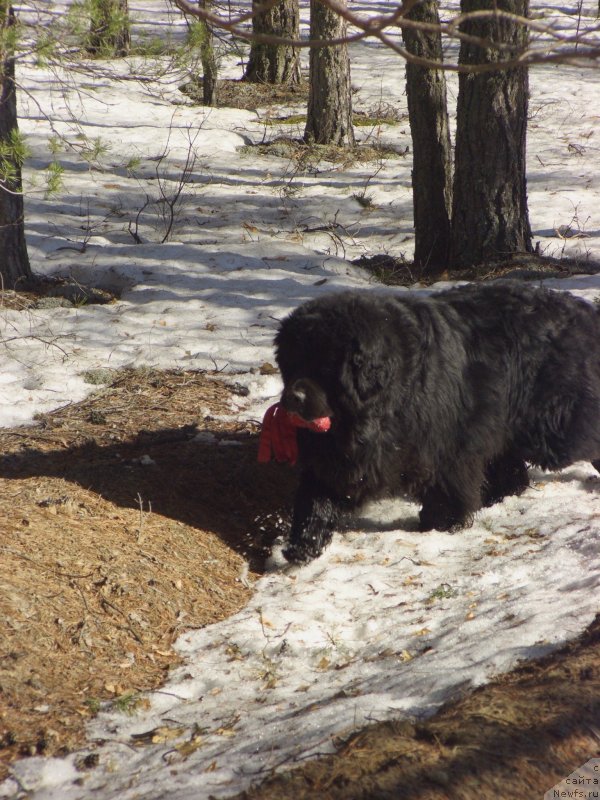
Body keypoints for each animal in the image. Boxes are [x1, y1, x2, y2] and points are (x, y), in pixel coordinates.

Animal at [274, 282, 600, 564]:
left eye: (324, 365)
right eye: (292, 363)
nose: (292, 397)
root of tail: (580, 310)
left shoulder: (447, 445)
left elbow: (447, 486)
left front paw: (442, 524)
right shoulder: (342, 458)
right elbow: (317, 494)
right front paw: (303, 542)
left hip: (551, 427)